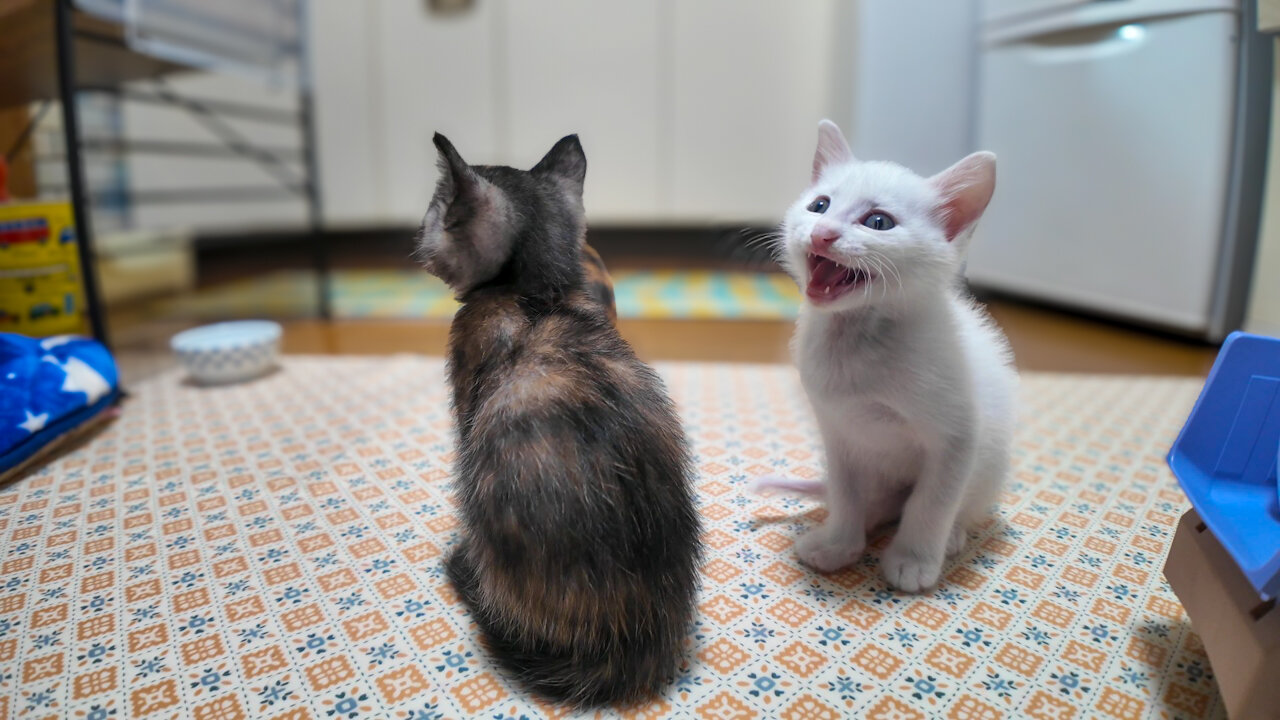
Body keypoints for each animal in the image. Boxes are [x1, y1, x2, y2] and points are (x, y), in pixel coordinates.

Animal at [757, 117, 1018, 589]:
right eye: (819, 205)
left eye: (878, 221)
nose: (822, 233)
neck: (857, 339)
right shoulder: (837, 431)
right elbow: (846, 493)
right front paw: (838, 544)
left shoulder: (958, 437)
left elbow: (931, 502)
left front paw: (914, 561)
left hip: (991, 464)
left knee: (952, 503)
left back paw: (952, 535)